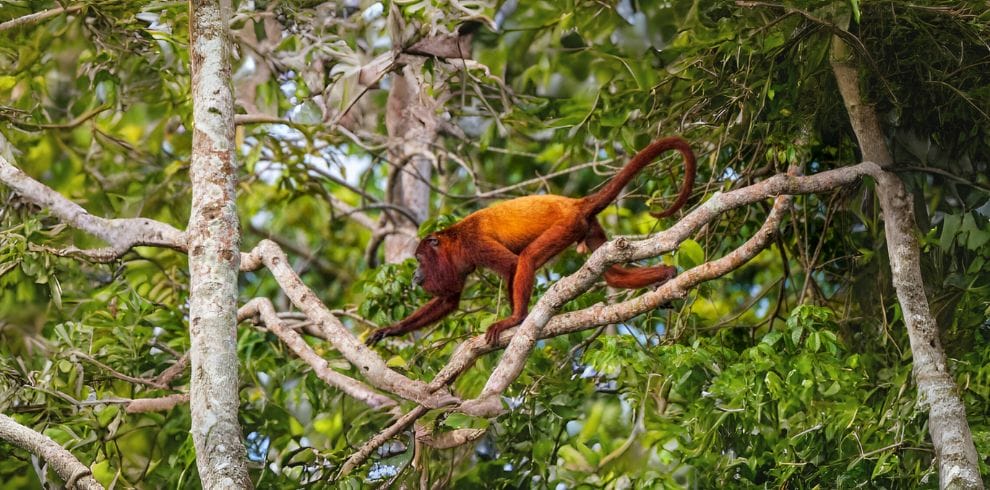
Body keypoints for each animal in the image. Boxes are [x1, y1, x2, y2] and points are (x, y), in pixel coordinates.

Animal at [364, 136, 696, 346]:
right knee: (613, 274)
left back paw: (519, 317)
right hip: (588, 228)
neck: (453, 241)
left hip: (565, 226)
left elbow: (512, 266)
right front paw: (392, 329)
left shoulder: (473, 243)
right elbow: (449, 299)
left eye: (419, 260)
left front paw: (513, 319)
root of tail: (576, 203)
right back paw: (665, 274)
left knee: (527, 259)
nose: (416, 275)